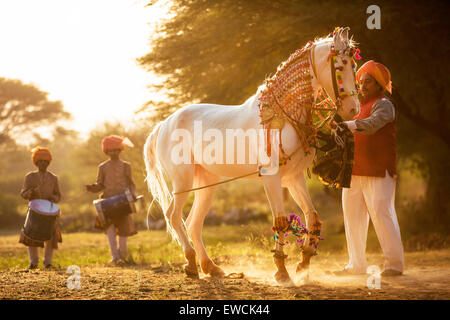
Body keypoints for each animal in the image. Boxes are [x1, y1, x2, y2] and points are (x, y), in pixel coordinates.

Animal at [144, 26, 358, 282]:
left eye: (353, 65)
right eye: (340, 66)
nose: (353, 110)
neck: (282, 116)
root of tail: (164, 124)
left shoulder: (293, 178)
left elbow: (312, 216)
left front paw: (303, 264)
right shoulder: (271, 178)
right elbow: (281, 221)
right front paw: (282, 271)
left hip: (207, 182)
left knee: (193, 222)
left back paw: (210, 267)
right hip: (182, 181)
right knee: (174, 217)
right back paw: (192, 265)